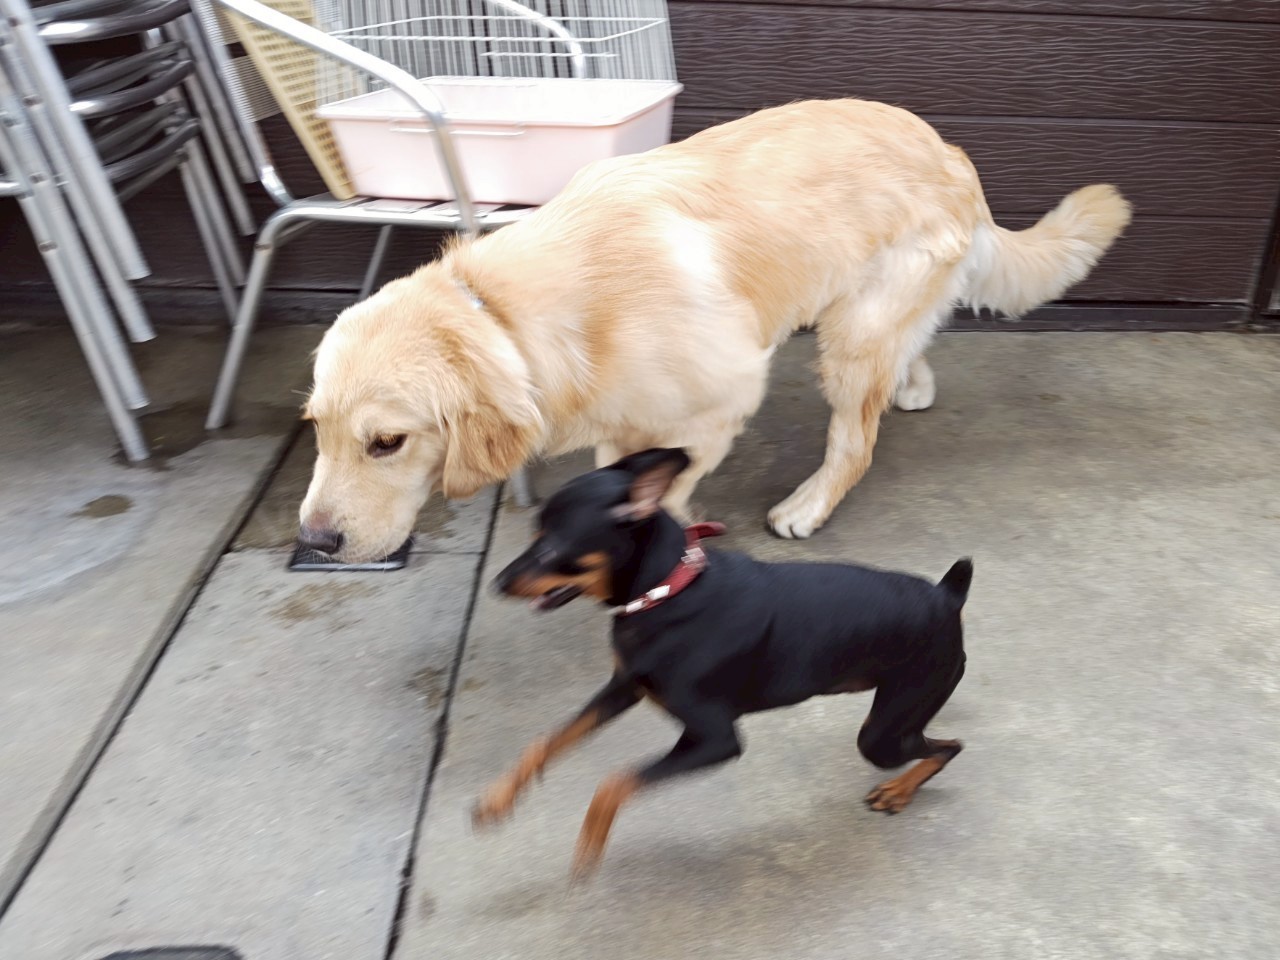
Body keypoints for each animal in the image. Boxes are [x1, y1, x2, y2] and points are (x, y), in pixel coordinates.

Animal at [298, 98, 1131, 562]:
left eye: (387, 442)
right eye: (317, 432)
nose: (314, 542)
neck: (503, 315)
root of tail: (951, 153)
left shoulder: (716, 403)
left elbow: (664, 487)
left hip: (850, 338)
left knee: (854, 442)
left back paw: (809, 505)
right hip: (864, 306)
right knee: (911, 346)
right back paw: (912, 385)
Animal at [471, 448, 971, 880]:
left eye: (552, 548)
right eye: (534, 535)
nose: (496, 584)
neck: (667, 592)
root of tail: (946, 597)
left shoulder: (716, 739)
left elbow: (613, 783)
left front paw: (589, 846)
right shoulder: (624, 688)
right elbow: (546, 741)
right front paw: (498, 800)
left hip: (883, 734)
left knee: (949, 747)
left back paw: (898, 791)